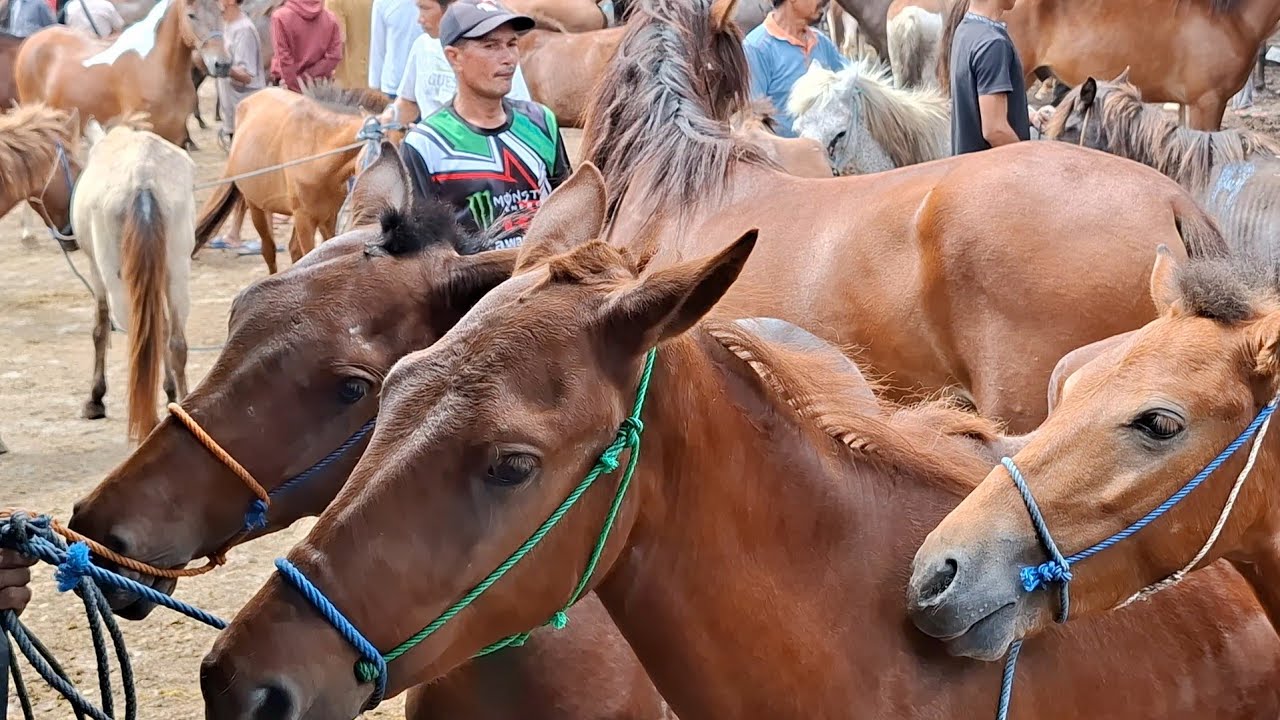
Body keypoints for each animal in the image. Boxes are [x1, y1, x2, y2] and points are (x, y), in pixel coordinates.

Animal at [14, 0, 230, 148]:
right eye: (191, 15)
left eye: (221, 13)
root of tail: (31, 41)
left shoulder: (176, 134)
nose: (222, 64)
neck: (152, 66)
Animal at [72, 114, 194, 443]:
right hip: (177, 271)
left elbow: (100, 328)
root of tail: (143, 176)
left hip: (119, 284)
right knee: (174, 340)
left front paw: (95, 399)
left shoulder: (95, 272)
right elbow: (163, 329)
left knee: (141, 341)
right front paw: (170, 393)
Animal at [193, 81, 401, 274]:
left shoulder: (328, 216)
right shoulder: (304, 219)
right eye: (376, 158)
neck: (316, 151)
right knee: (269, 250)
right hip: (257, 206)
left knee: (292, 249)